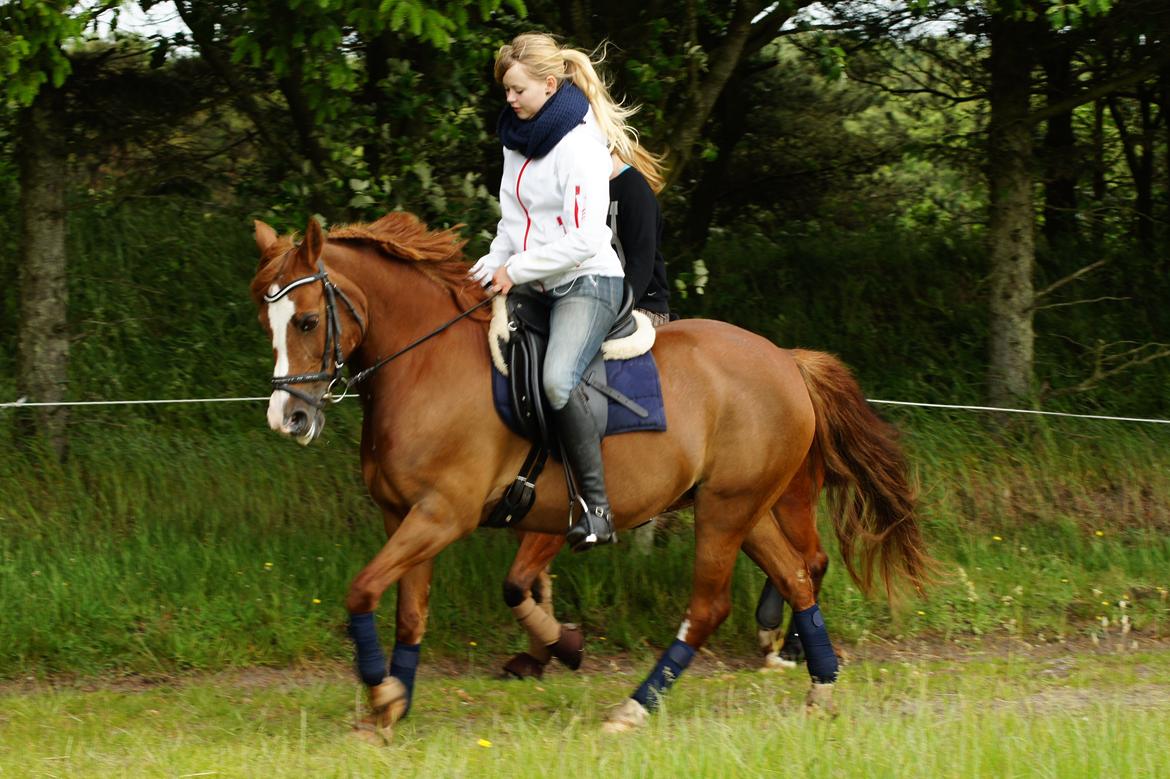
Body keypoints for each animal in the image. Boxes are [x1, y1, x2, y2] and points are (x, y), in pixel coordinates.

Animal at [251, 212, 926, 739]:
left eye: (307, 321)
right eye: (268, 325)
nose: (289, 418)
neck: (425, 366)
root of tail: (786, 359)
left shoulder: (442, 516)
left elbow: (363, 591)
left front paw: (386, 694)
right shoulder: (406, 518)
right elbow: (410, 614)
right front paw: (393, 706)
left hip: (727, 511)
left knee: (712, 605)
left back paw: (635, 708)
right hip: (744, 508)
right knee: (797, 578)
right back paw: (820, 689)